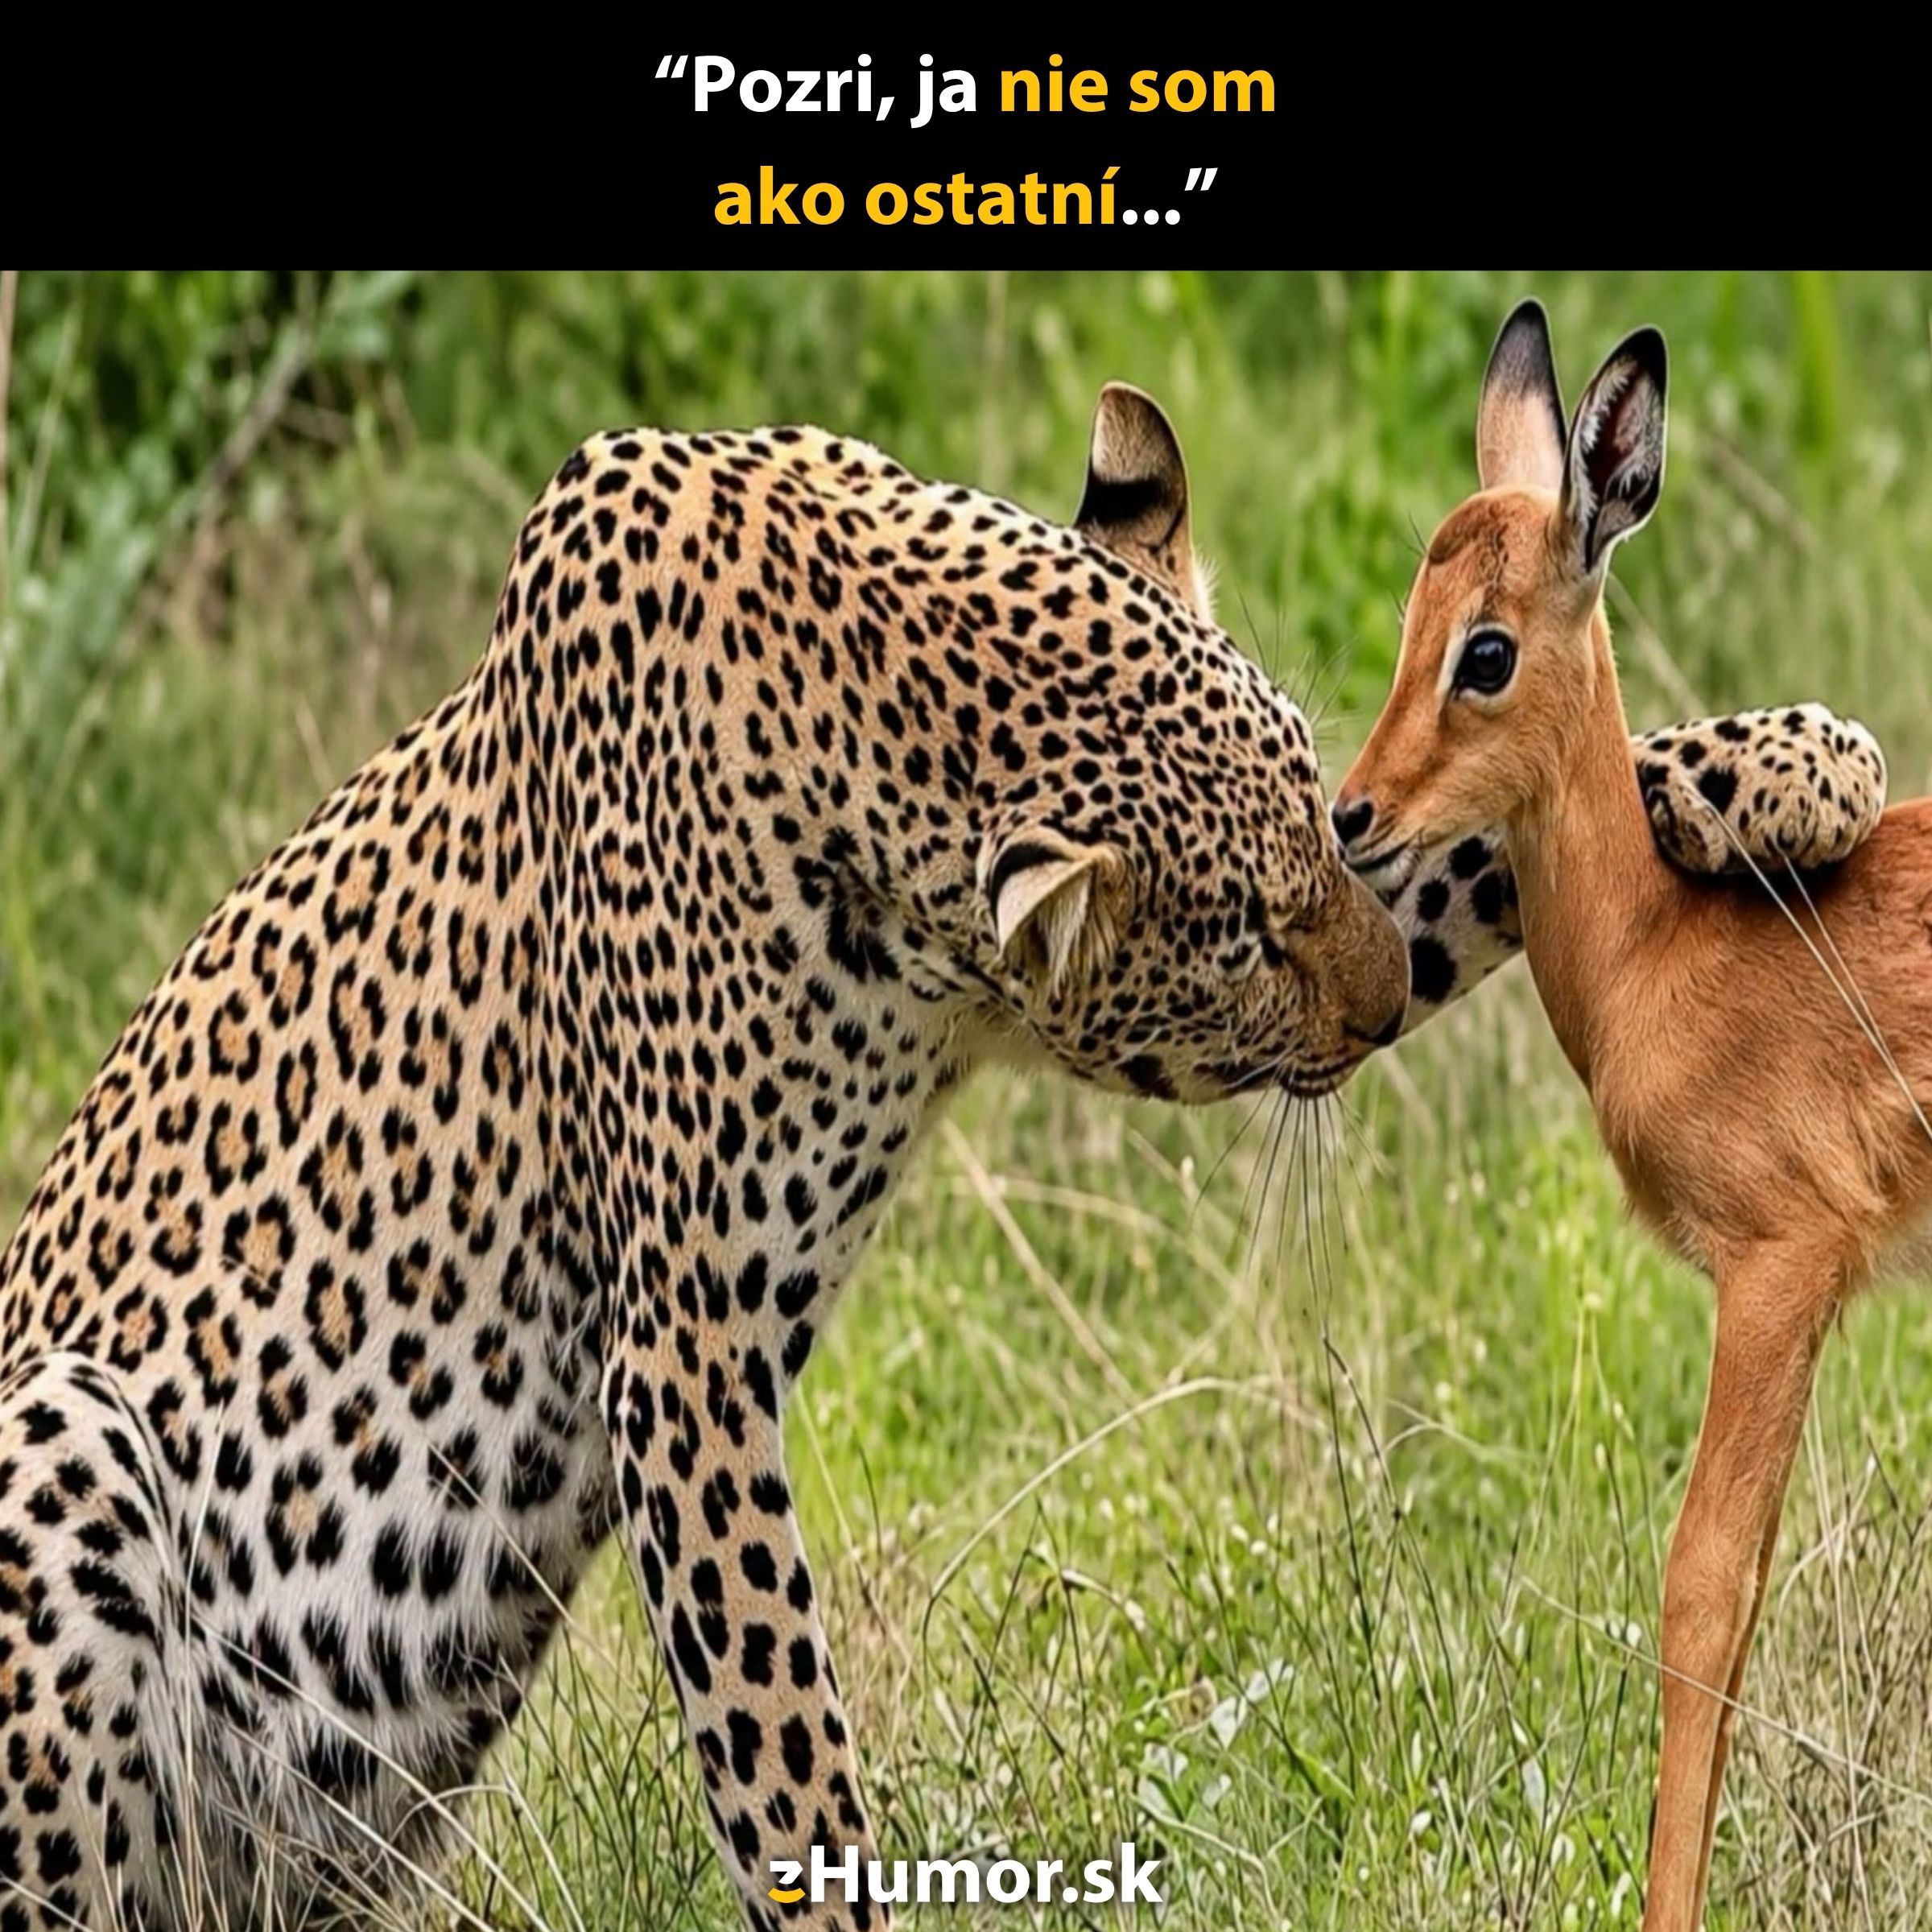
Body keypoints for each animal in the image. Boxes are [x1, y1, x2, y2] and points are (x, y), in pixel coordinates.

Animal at [0, 381, 1884, 1931]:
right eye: (1246, 942)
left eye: (1318, 837)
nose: (1352, 1026)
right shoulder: (684, 1361)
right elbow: (780, 1746)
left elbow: (1484, 851)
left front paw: (1800, 765)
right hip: (66, 1439)